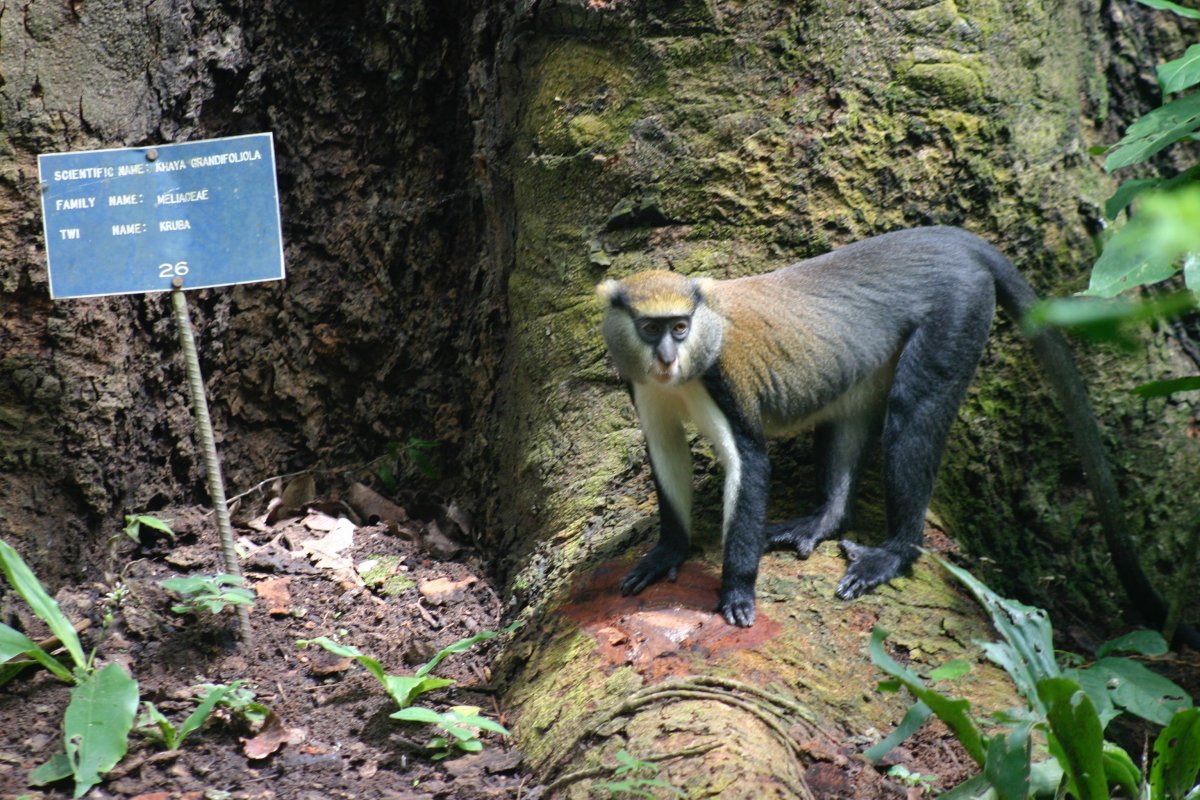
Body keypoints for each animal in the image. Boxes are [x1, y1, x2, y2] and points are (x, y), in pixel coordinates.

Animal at [597, 224, 1200, 642]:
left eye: (680, 328)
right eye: (650, 329)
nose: (668, 358)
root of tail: (948, 239)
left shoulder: (723, 381)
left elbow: (751, 464)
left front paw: (737, 591)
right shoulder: (641, 386)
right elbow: (665, 453)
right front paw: (666, 551)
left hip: (957, 312)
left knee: (913, 414)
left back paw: (895, 552)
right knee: (850, 415)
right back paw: (827, 518)